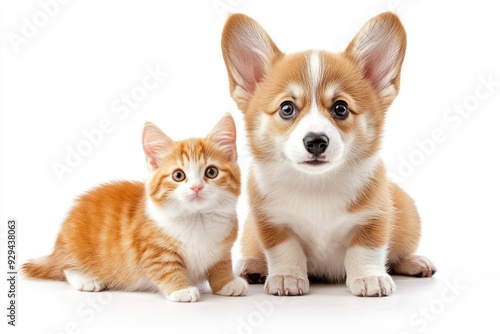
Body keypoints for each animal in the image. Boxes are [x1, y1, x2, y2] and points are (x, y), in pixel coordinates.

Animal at [22, 113, 248, 302]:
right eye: (178, 175)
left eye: (211, 172)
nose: (196, 187)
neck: (197, 218)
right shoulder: (153, 250)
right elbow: (166, 268)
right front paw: (181, 288)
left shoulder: (222, 247)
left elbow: (221, 264)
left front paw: (227, 282)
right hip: (74, 247)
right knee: (65, 267)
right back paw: (86, 279)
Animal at [221, 11, 436, 296]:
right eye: (287, 108)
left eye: (340, 108)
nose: (315, 142)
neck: (317, 184)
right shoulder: (271, 221)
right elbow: (285, 249)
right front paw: (287, 277)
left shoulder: (375, 215)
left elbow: (366, 249)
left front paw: (370, 278)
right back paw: (253, 266)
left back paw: (415, 262)